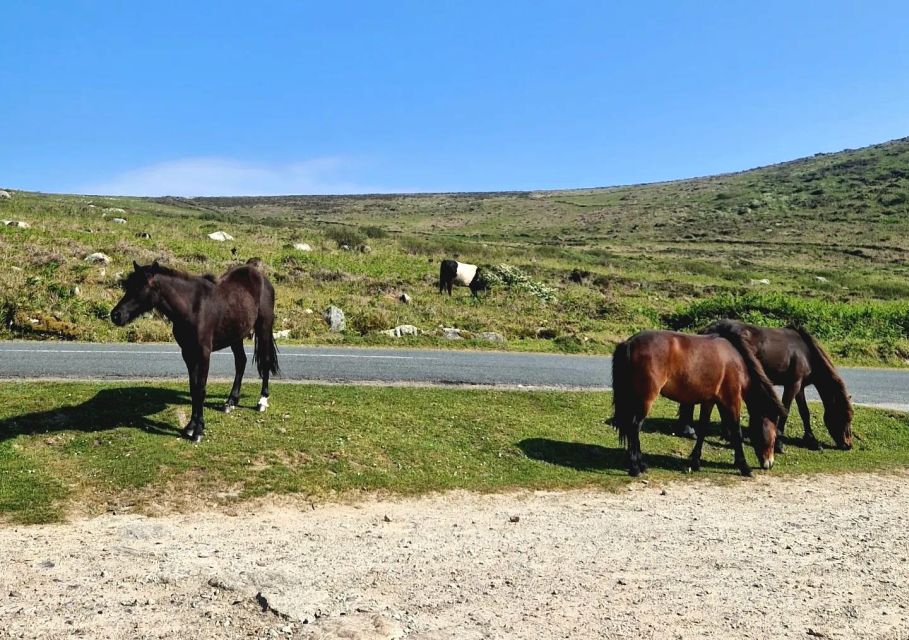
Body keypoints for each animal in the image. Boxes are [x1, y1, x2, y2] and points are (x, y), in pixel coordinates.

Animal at [111, 258, 278, 442]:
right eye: (128, 286)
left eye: (141, 287)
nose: (116, 315)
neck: (193, 308)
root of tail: (261, 277)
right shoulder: (187, 353)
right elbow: (193, 389)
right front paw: (190, 427)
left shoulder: (204, 353)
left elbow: (201, 390)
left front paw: (198, 431)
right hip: (236, 335)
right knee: (241, 362)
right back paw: (230, 402)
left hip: (263, 327)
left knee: (265, 361)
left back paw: (262, 401)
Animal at [612, 330, 788, 476]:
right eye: (773, 437)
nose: (769, 463)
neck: (736, 361)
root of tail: (630, 342)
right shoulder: (732, 400)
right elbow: (736, 432)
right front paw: (745, 467)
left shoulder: (710, 401)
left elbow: (703, 429)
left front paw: (695, 462)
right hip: (646, 399)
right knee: (634, 427)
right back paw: (635, 468)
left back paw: (641, 464)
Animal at [676, 318, 856, 450]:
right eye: (844, 416)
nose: (848, 445)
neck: (806, 353)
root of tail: (706, 330)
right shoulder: (793, 385)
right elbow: (786, 411)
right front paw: (779, 443)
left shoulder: (800, 387)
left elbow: (804, 412)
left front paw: (811, 441)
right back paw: (691, 430)